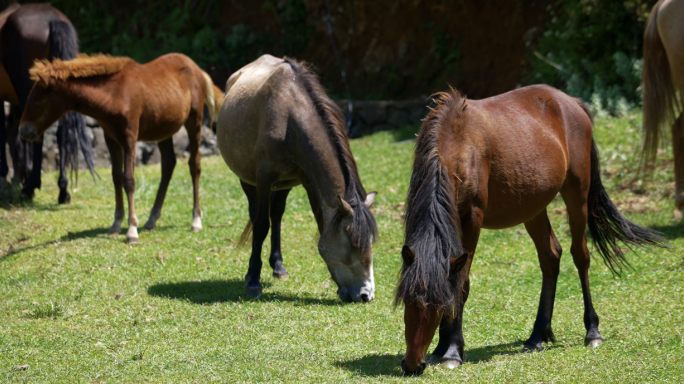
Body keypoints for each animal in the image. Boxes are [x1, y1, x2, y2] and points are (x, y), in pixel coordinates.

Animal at [0, 3, 95, 202]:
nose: (17, 177)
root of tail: (53, 19)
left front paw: (7, 174)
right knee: (62, 132)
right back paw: (63, 190)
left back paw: (30, 187)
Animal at [18, 52, 223, 243]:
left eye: (38, 101)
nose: (23, 131)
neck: (113, 94)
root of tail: (198, 69)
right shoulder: (110, 138)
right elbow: (116, 177)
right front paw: (116, 225)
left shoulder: (129, 138)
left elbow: (129, 180)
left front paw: (132, 230)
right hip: (164, 129)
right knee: (168, 165)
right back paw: (151, 219)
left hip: (194, 123)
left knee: (194, 166)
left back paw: (196, 220)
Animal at [398, 85, 664, 376]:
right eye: (406, 301)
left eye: (435, 306)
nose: (412, 364)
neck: (457, 144)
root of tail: (571, 102)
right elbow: (453, 280)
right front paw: (440, 348)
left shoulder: (472, 218)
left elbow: (461, 284)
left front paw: (453, 351)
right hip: (533, 208)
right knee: (551, 257)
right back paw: (537, 336)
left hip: (577, 194)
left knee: (580, 256)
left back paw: (592, 332)